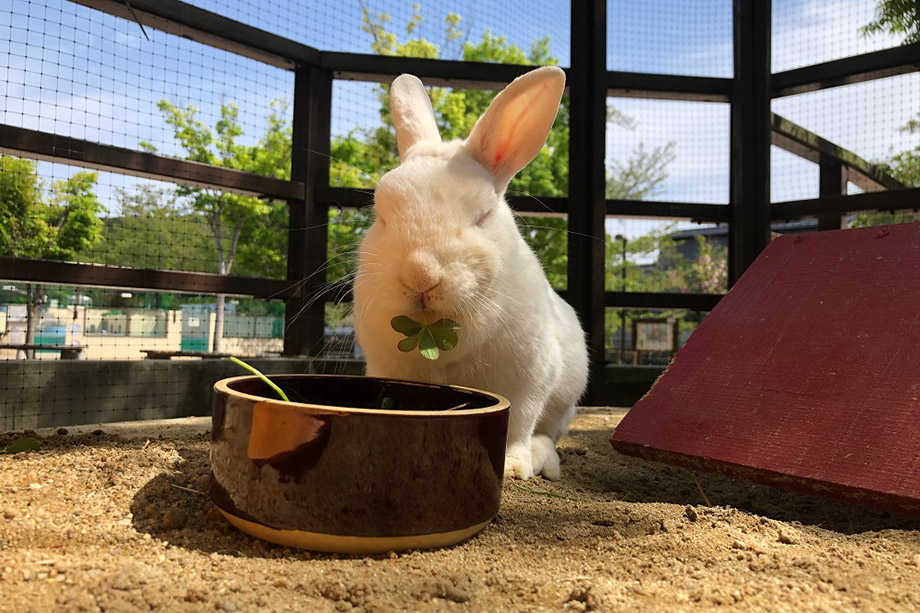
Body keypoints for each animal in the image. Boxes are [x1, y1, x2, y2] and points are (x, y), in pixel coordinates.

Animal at [352, 65, 588, 478]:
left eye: (483, 216)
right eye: (381, 215)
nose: (421, 274)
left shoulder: (528, 378)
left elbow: (518, 425)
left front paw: (513, 468)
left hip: (564, 400)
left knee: (546, 432)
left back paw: (544, 460)